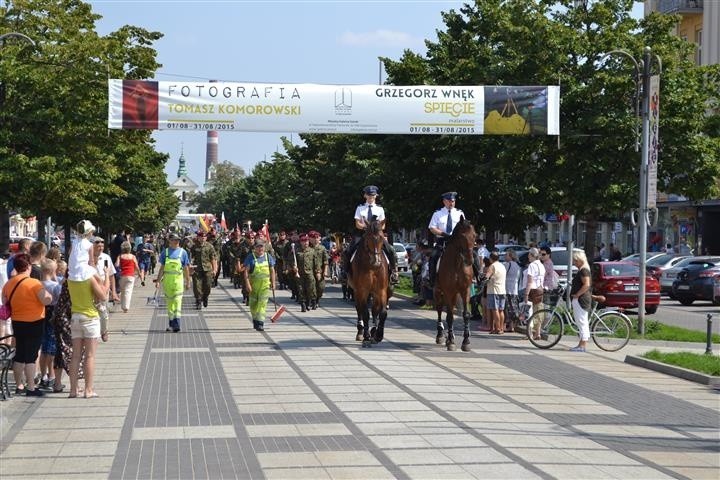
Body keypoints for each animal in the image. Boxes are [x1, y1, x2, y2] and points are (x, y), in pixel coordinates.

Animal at [436, 218, 476, 352]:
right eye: (462, 236)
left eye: (475, 235)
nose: (469, 260)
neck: (457, 264)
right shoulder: (448, 291)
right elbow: (449, 316)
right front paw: (452, 342)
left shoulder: (465, 290)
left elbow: (466, 315)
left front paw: (466, 342)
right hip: (438, 291)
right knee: (440, 310)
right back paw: (441, 336)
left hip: (455, 293)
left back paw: (449, 337)